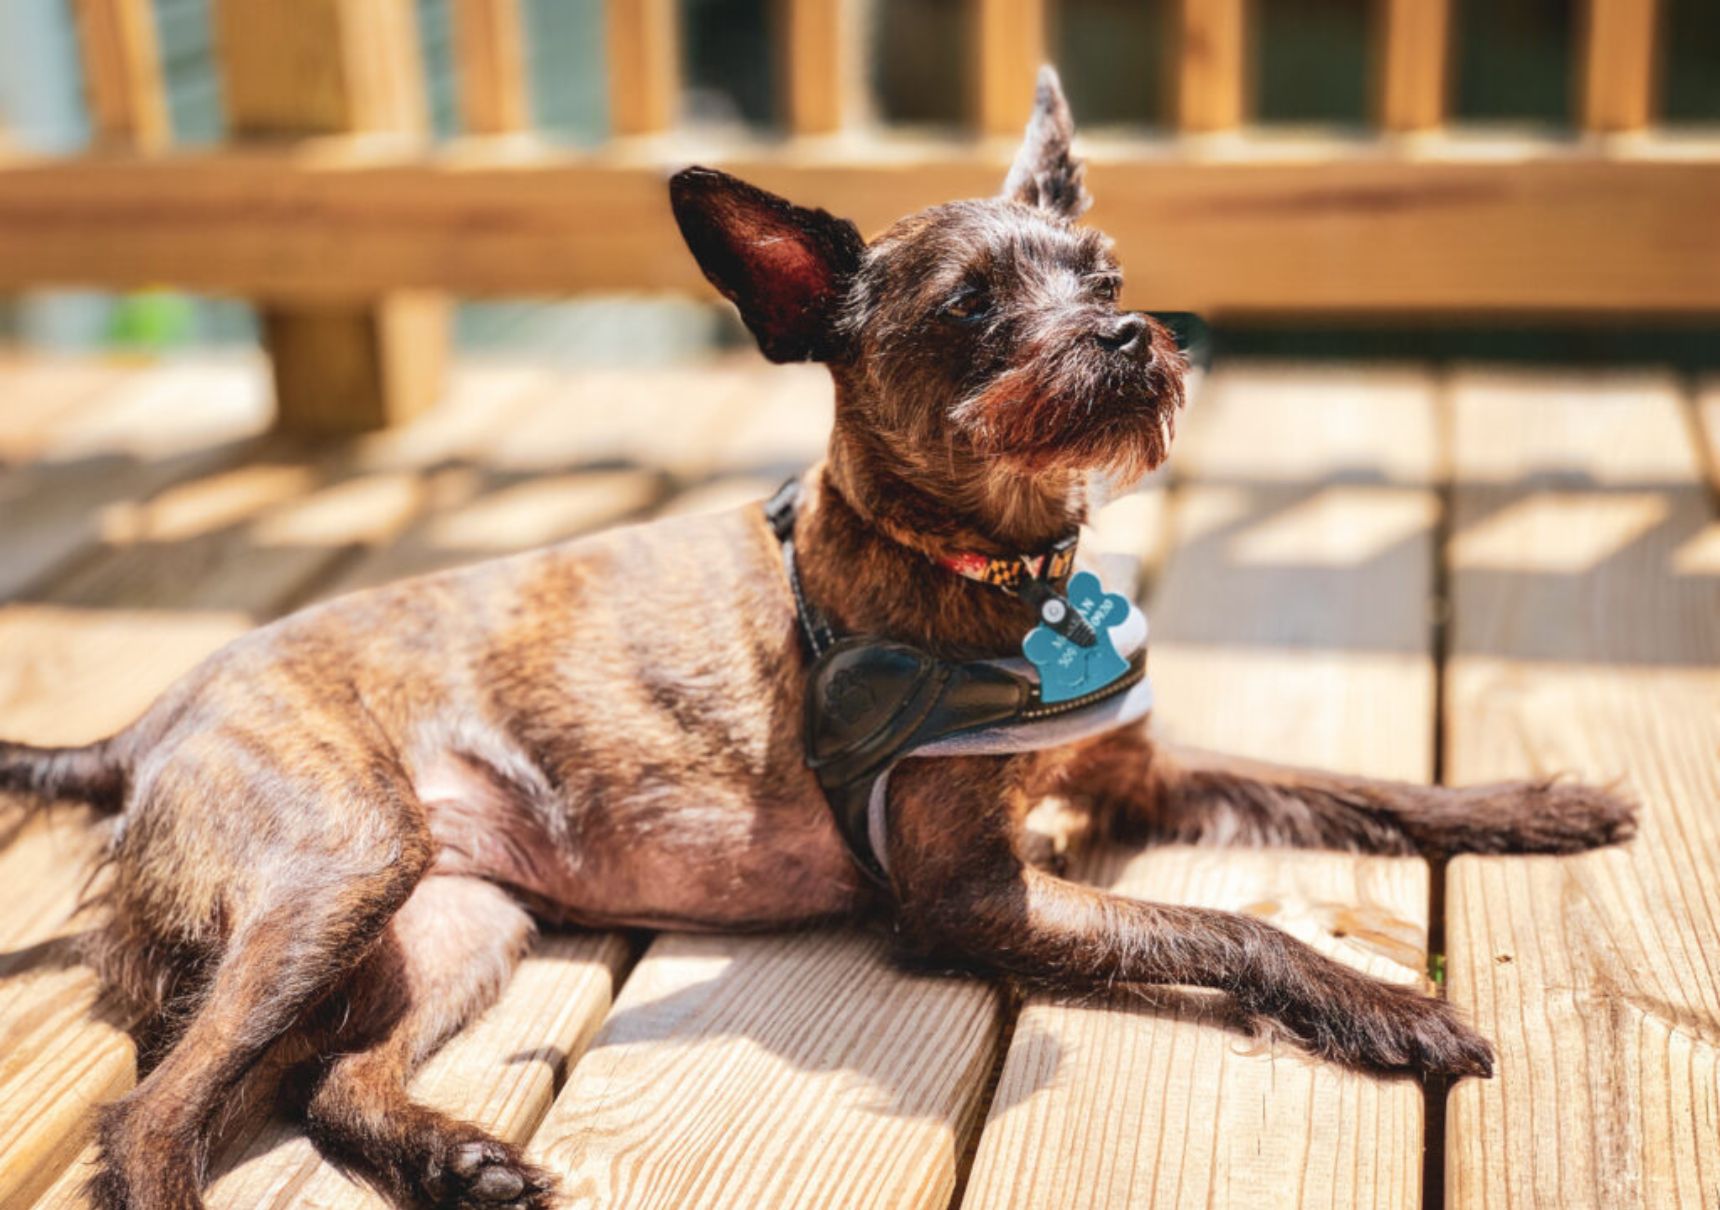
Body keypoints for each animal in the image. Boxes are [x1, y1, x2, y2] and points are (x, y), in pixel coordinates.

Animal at [3, 73, 1637, 1210]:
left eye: (1103, 277)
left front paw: (1536, 804)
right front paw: (1391, 1007)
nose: (1127, 337)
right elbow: (1233, 927)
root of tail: (148, 721)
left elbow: (1358, 786)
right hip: (341, 866)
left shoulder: (1142, 774)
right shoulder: (968, 901)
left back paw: (459, 1157)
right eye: (974, 311)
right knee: (153, 1114)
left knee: (333, 1083)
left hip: (455, 922)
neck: (1000, 568)